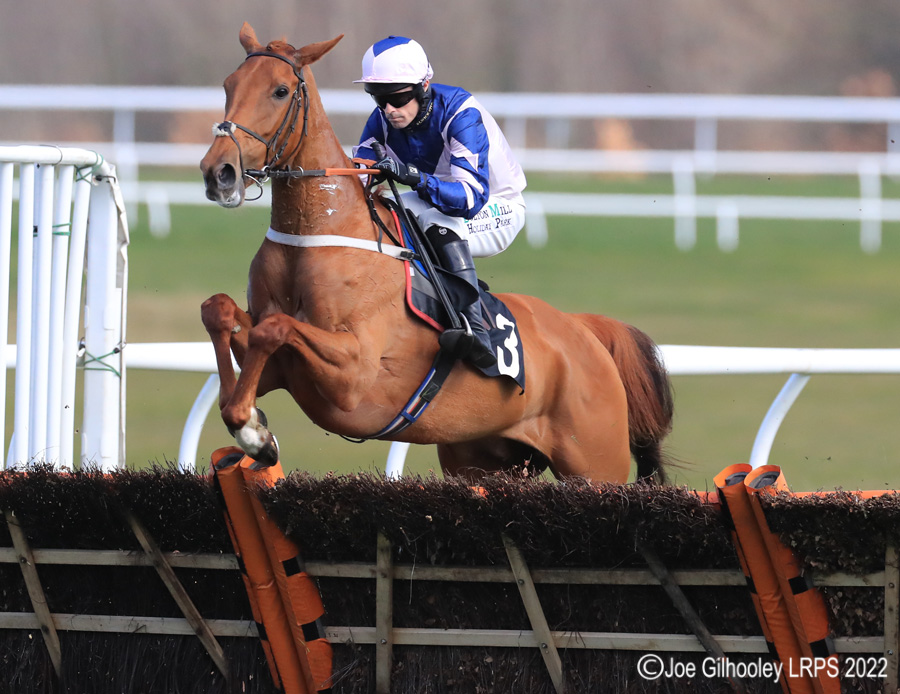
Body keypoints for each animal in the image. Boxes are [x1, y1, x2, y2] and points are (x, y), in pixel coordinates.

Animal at [199, 23, 674, 484]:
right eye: (228, 85)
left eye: (280, 90)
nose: (218, 172)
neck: (322, 235)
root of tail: (584, 330)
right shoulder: (283, 369)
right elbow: (219, 312)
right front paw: (252, 427)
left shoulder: (353, 377)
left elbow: (274, 328)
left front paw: (252, 432)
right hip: (483, 460)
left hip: (595, 464)